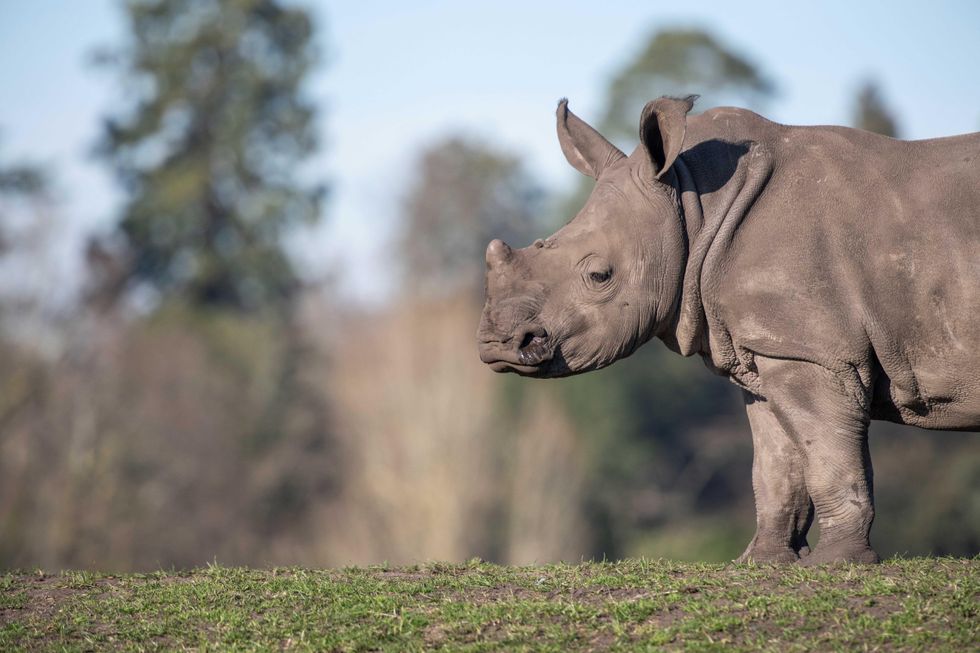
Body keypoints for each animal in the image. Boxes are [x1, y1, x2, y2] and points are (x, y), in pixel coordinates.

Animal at [476, 94, 980, 564]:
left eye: (600, 276)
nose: (498, 345)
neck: (693, 205)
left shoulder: (813, 352)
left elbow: (829, 456)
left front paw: (838, 564)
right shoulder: (772, 348)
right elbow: (778, 464)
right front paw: (763, 563)